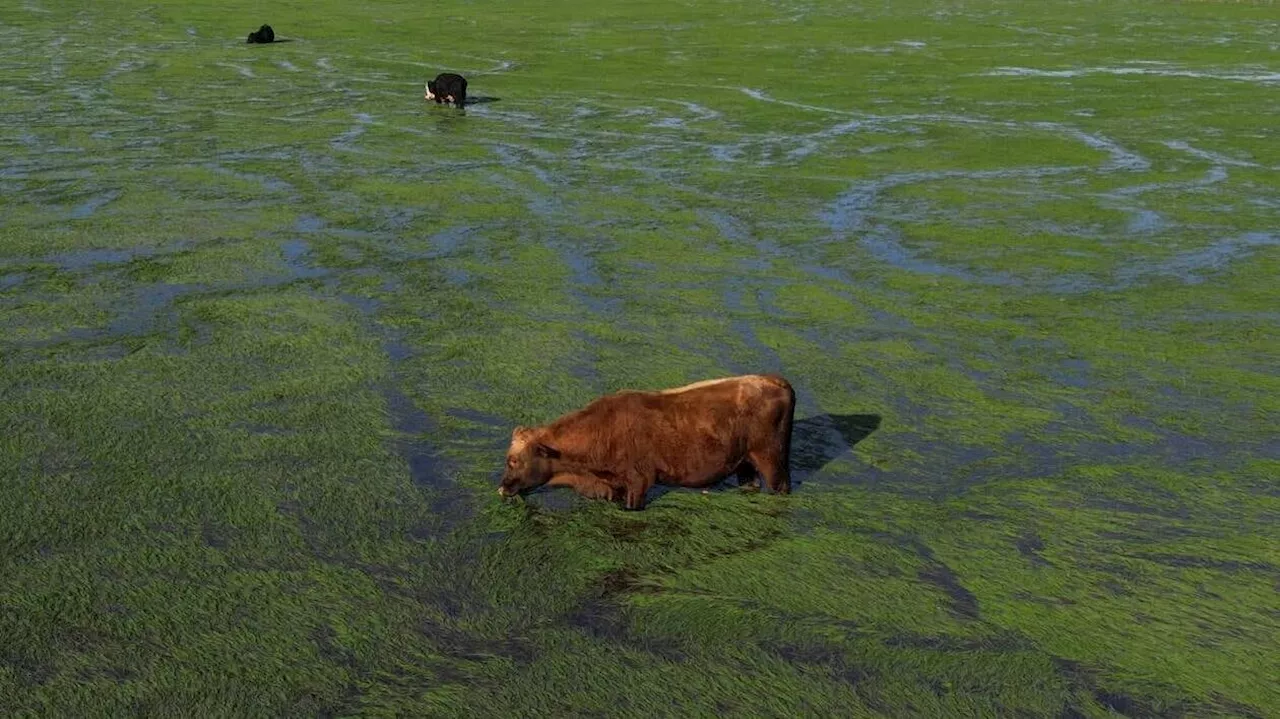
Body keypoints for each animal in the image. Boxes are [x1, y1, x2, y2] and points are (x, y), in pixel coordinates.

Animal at [496, 371, 788, 506]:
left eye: (513, 460)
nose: (502, 488)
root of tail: (774, 380)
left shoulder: (639, 483)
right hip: (745, 466)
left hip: (772, 464)